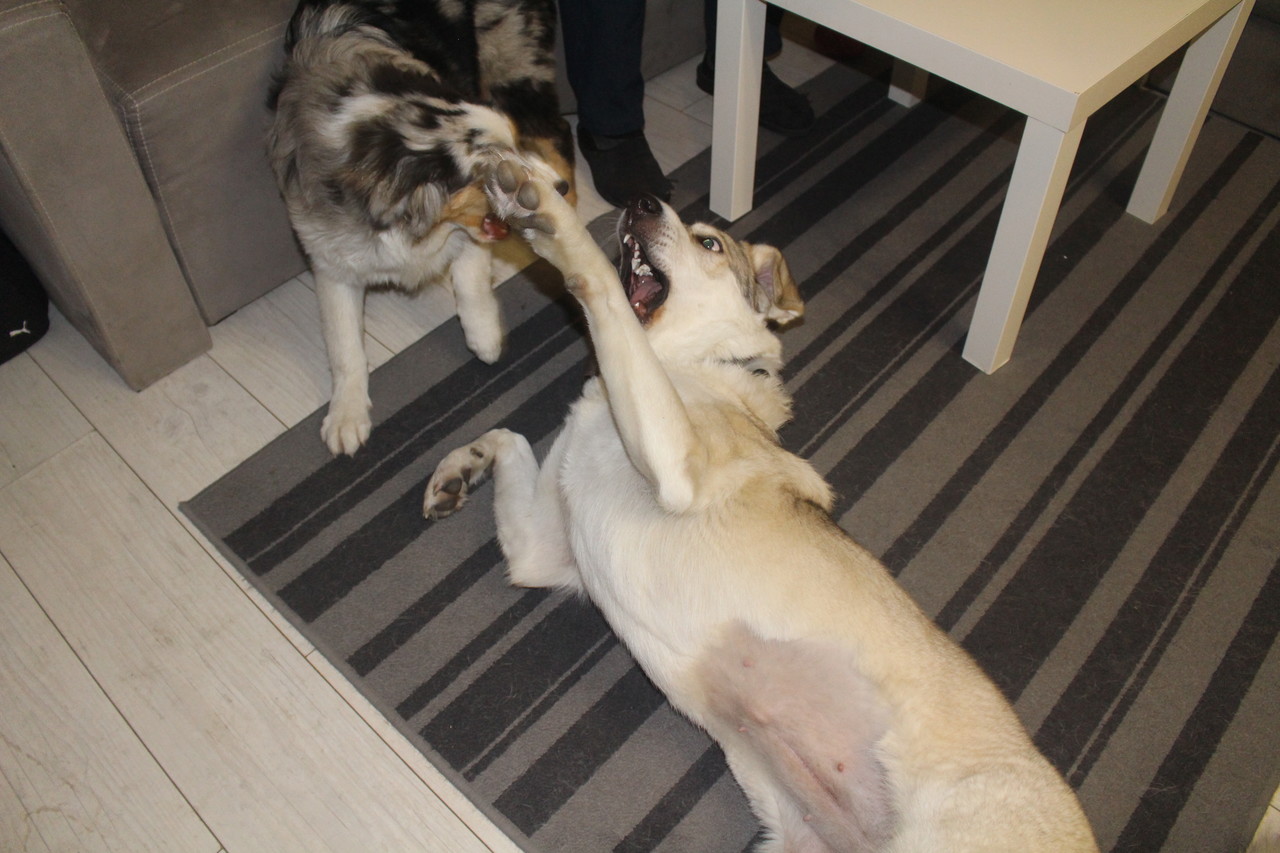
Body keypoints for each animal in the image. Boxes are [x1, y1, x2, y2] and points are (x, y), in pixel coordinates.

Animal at [268, 0, 575, 455]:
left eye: (514, 146)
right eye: (496, 175)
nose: (558, 189)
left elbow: (470, 280)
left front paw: (485, 338)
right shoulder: (329, 254)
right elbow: (344, 343)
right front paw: (346, 418)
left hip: (513, 62)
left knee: (558, 128)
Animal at [423, 162, 1099, 851]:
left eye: (709, 243)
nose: (639, 200)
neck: (685, 364)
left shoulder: (677, 470)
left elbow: (596, 283)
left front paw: (548, 216)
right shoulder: (539, 554)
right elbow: (510, 437)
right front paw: (459, 469)